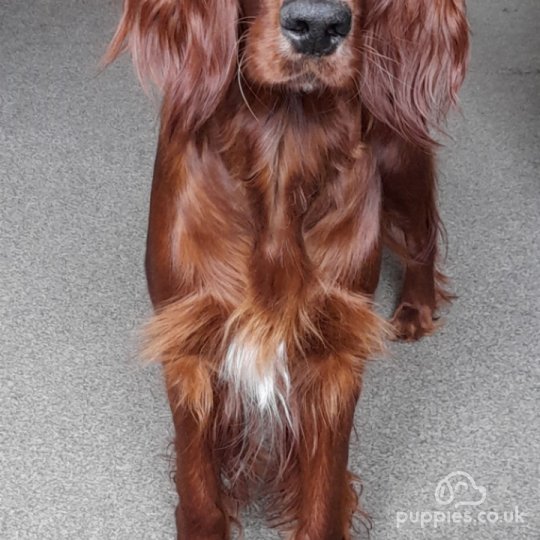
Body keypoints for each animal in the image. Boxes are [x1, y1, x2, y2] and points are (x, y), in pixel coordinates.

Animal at [104, 0, 468, 536]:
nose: (317, 23)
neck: (282, 151)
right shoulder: (191, 341)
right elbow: (198, 483)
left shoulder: (334, 349)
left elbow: (323, 490)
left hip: (399, 146)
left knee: (423, 233)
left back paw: (415, 307)